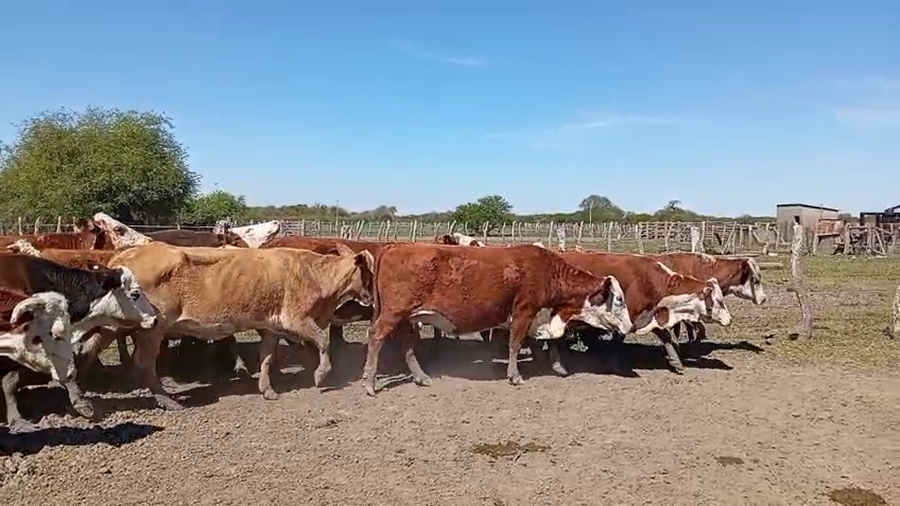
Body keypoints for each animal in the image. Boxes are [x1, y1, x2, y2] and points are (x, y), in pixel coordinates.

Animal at [75, 242, 375, 410]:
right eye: (369, 274)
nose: (372, 299)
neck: (313, 273)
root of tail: (123, 257)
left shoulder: (271, 326)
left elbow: (267, 358)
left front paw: (267, 389)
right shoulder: (297, 319)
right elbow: (323, 341)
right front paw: (321, 375)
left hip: (113, 325)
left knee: (87, 351)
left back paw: (81, 395)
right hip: (152, 329)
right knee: (144, 363)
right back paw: (167, 401)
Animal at [362, 243, 632, 396]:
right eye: (618, 299)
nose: (629, 326)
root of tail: (395, 246)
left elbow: (541, 342)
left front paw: (557, 366)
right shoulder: (524, 311)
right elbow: (516, 343)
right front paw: (515, 376)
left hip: (407, 318)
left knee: (407, 345)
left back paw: (421, 377)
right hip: (393, 313)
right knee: (376, 337)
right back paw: (370, 383)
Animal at [559, 251, 732, 373]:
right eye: (718, 300)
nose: (729, 319)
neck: (648, 281)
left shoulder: (650, 315)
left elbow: (666, 336)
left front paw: (676, 362)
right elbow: (617, 342)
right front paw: (614, 364)